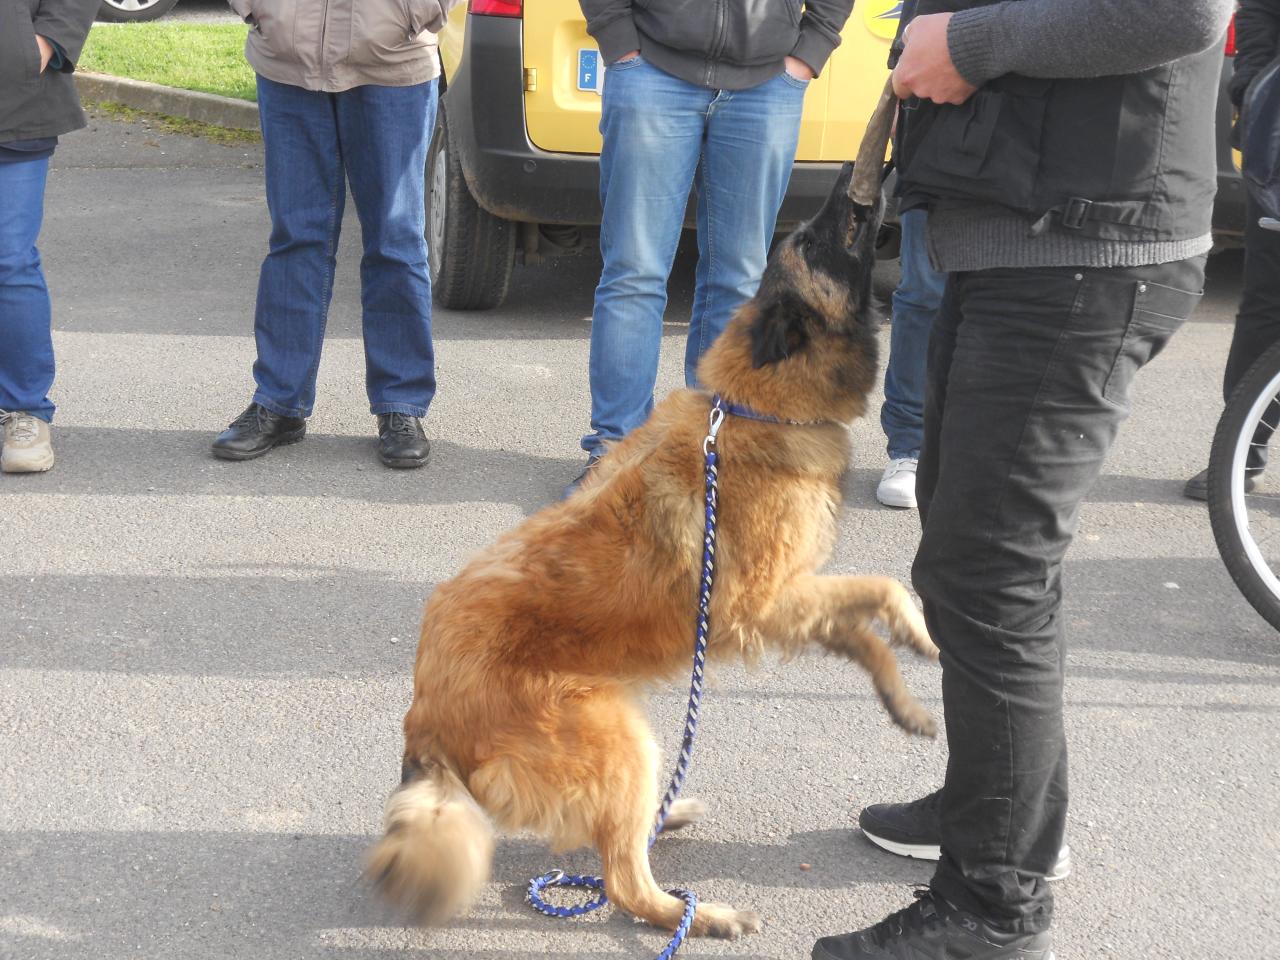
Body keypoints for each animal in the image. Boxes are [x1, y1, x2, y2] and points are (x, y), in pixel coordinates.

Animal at [366, 165, 936, 942]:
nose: (855, 173)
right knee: (622, 881)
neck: (754, 406)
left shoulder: (788, 603)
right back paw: (698, 912)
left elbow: (864, 635)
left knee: (612, 841)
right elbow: (883, 586)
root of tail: (423, 710)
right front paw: (923, 634)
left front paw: (903, 703)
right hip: (618, 739)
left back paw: (667, 820)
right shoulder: (763, 601)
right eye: (817, 241)